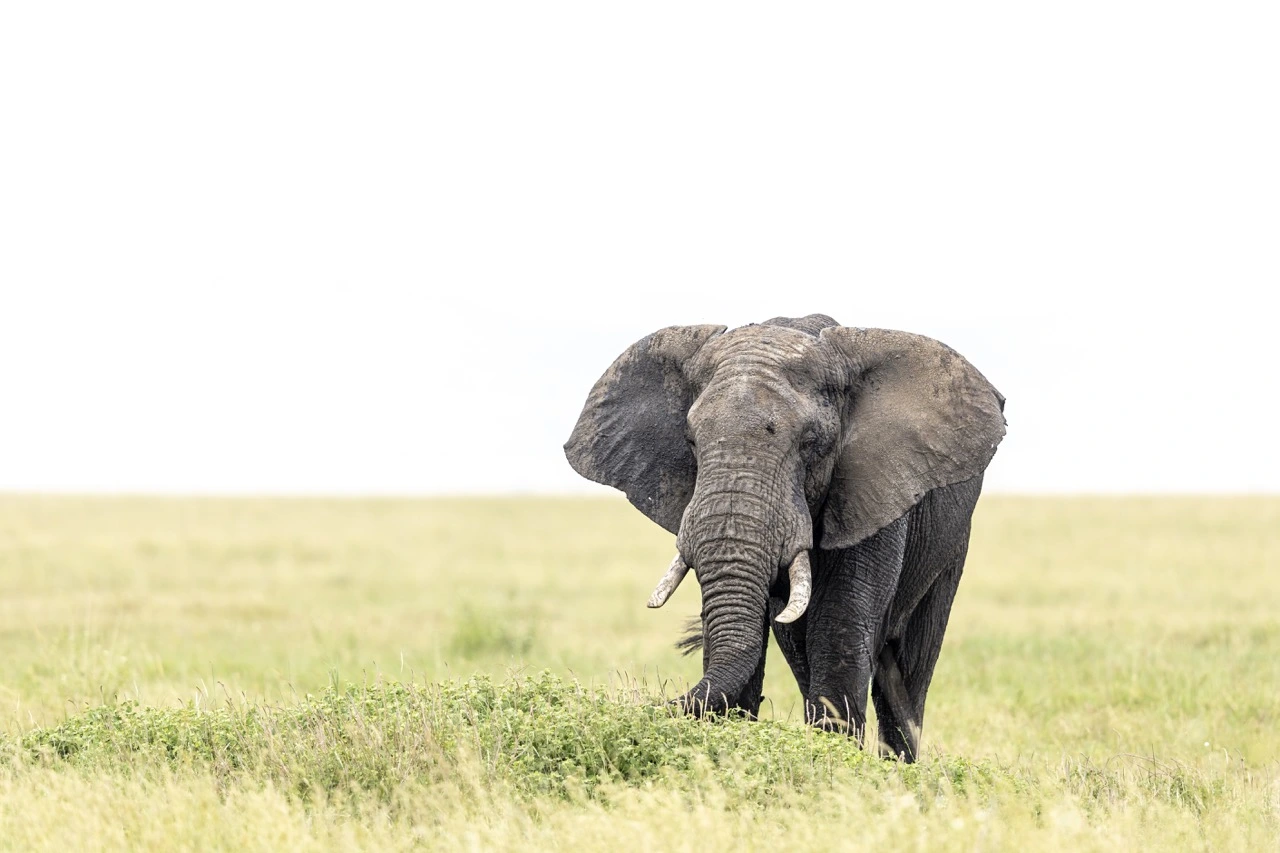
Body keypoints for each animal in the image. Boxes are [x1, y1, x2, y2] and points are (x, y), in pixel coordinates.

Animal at [565, 313, 1003, 758]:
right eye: (690, 441)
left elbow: (839, 628)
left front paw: (833, 759)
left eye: (811, 443)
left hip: (951, 545)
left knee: (910, 668)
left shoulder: (874, 490)